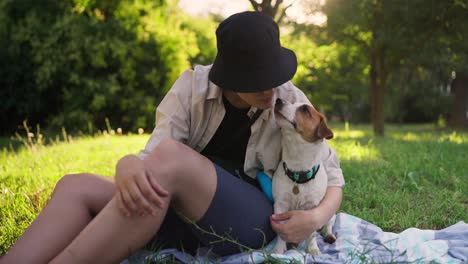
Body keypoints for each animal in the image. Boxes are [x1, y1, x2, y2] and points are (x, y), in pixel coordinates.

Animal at [270, 98, 336, 255]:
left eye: (305, 110)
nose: (278, 100)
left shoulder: (312, 210)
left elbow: (311, 233)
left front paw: (312, 249)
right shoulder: (280, 205)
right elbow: (280, 231)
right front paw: (278, 249)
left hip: (332, 214)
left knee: (327, 226)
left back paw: (329, 235)